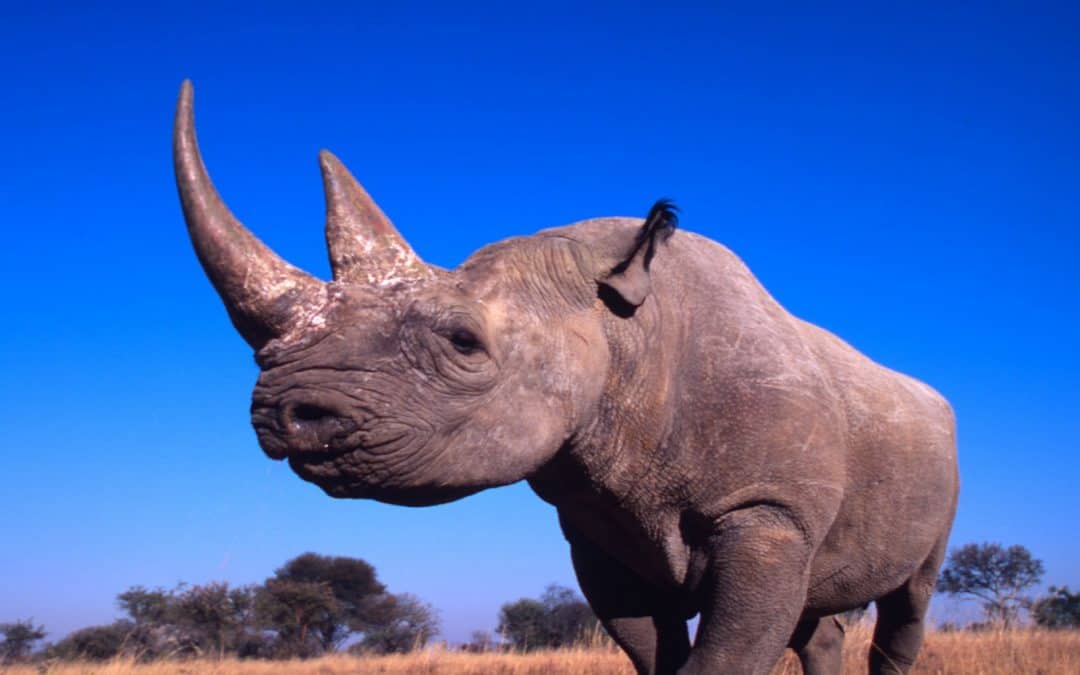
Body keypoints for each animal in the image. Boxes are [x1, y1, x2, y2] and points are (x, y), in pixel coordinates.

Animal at [172, 80, 959, 673]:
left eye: (464, 342)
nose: (281, 413)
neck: (621, 329)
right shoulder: (596, 530)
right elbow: (657, 655)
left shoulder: (767, 510)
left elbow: (727, 656)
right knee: (820, 609)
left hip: (938, 452)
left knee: (911, 597)